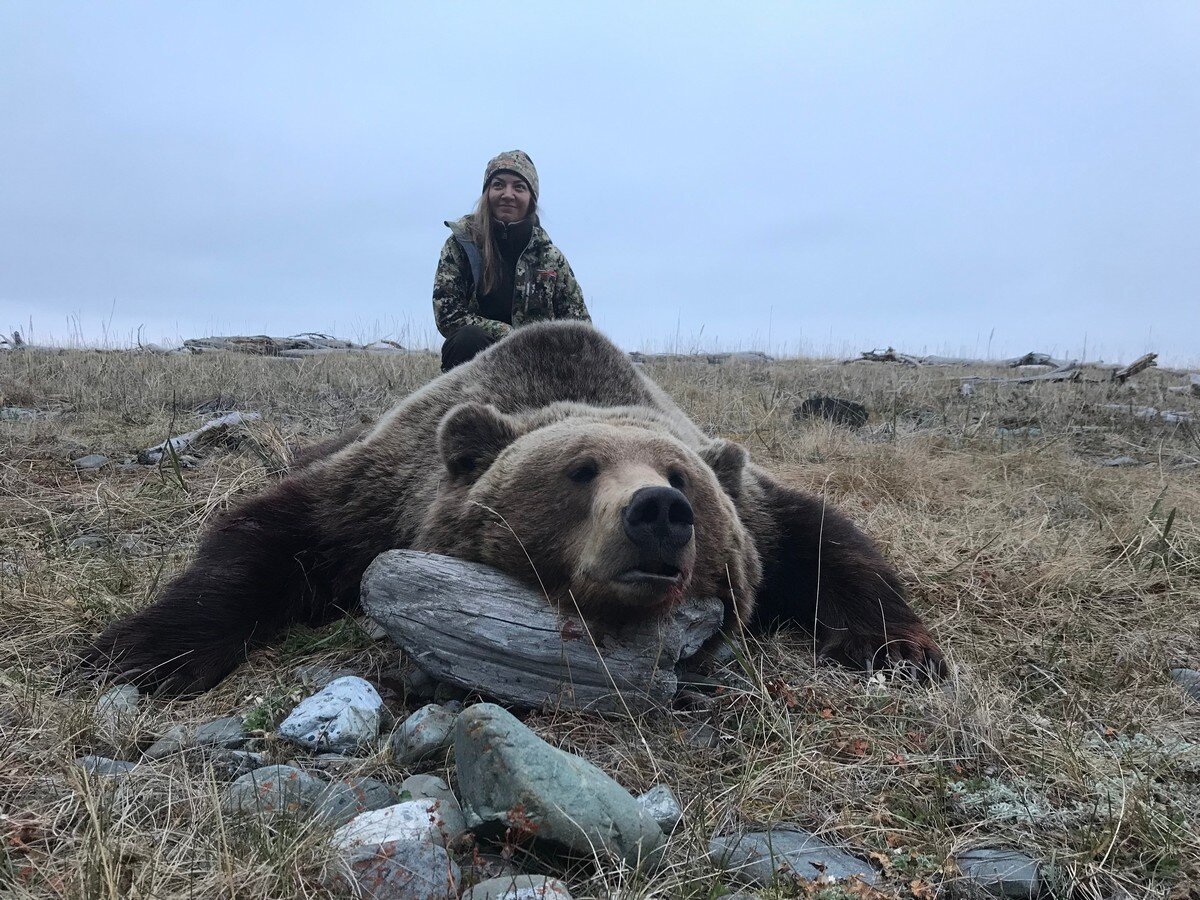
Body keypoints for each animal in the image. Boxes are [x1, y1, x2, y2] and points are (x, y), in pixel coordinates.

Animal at [84, 324, 945, 696]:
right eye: (581, 470)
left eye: (683, 475)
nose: (658, 511)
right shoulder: (378, 492)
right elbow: (270, 534)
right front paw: (141, 650)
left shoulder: (761, 509)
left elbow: (830, 541)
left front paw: (905, 651)